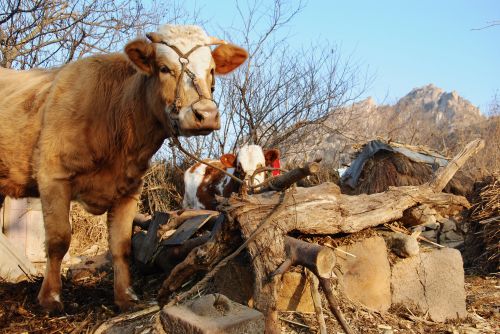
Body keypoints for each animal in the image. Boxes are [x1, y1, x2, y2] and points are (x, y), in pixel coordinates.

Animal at [0, 24, 248, 312]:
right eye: (164, 68)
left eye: (211, 70)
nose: (206, 114)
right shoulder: (53, 176)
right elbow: (58, 240)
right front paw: (50, 299)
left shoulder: (129, 188)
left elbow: (122, 245)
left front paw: (125, 296)